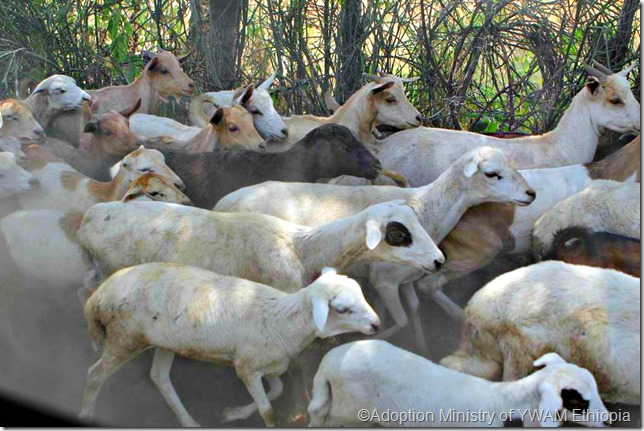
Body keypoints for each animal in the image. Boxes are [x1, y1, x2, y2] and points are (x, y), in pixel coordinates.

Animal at [82, 264, 382, 426]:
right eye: (342, 309)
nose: (377, 325)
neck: (285, 320)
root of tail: (99, 294)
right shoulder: (247, 367)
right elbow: (268, 410)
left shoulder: (264, 364)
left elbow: (277, 390)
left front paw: (233, 413)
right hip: (125, 338)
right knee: (94, 375)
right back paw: (87, 413)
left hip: (165, 342)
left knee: (159, 377)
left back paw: (189, 422)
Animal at [214, 147, 536, 352]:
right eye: (492, 173)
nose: (531, 193)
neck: (426, 208)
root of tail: (222, 202)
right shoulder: (384, 280)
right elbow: (400, 319)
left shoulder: (403, 281)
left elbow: (413, 310)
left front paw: (421, 346)